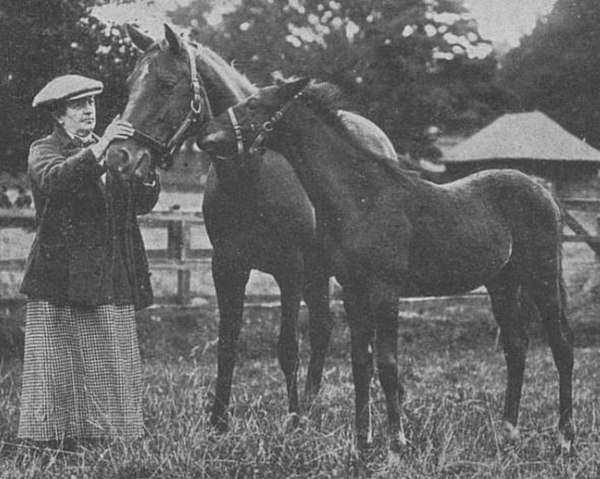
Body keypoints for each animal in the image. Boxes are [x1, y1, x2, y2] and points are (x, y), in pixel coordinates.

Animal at [105, 24, 400, 434]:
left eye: (166, 84)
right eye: (131, 83)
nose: (119, 159)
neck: (254, 172)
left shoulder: (290, 270)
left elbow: (288, 347)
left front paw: (293, 422)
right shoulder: (228, 267)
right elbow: (227, 344)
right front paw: (218, 421)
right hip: (319, 272)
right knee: (323, 328)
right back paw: (312, 403)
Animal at [197, 78, 576, 454]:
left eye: (254, 103)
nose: (206, 136)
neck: (362, 197)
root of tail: (546, 193)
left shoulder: (385, 290)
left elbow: (387, 363)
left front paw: (396, 441)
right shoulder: (353, 290)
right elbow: (360, 362)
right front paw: (362, 441)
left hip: (542, 278)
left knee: (561, 345)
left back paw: (565, 437)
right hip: (503, 284)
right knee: (516, 347)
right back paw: (508, 430)